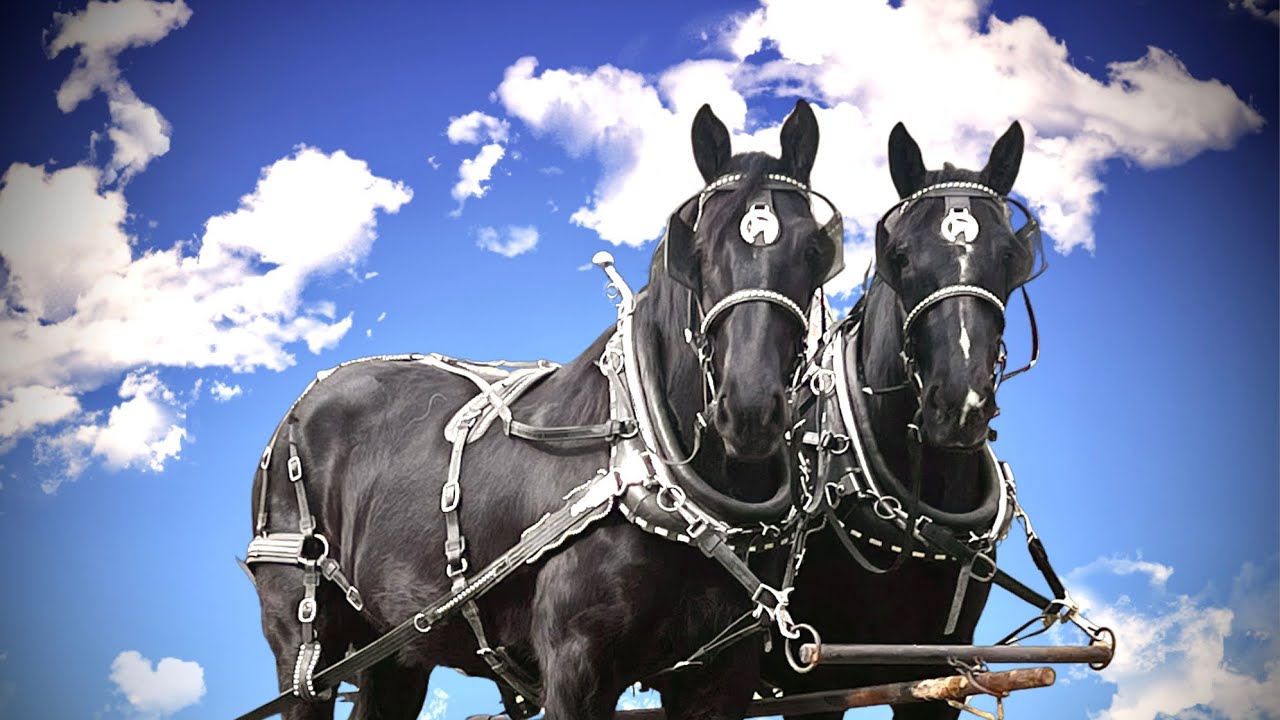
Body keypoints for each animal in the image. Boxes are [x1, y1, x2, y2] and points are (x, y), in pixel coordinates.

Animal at [243, 99, 844, 720]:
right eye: (696, 254)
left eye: (815, 252)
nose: (749, 410)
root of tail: (301, 409)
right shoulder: (576, 667)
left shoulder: (720, 677)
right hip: (306, 642)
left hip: (395, 646)